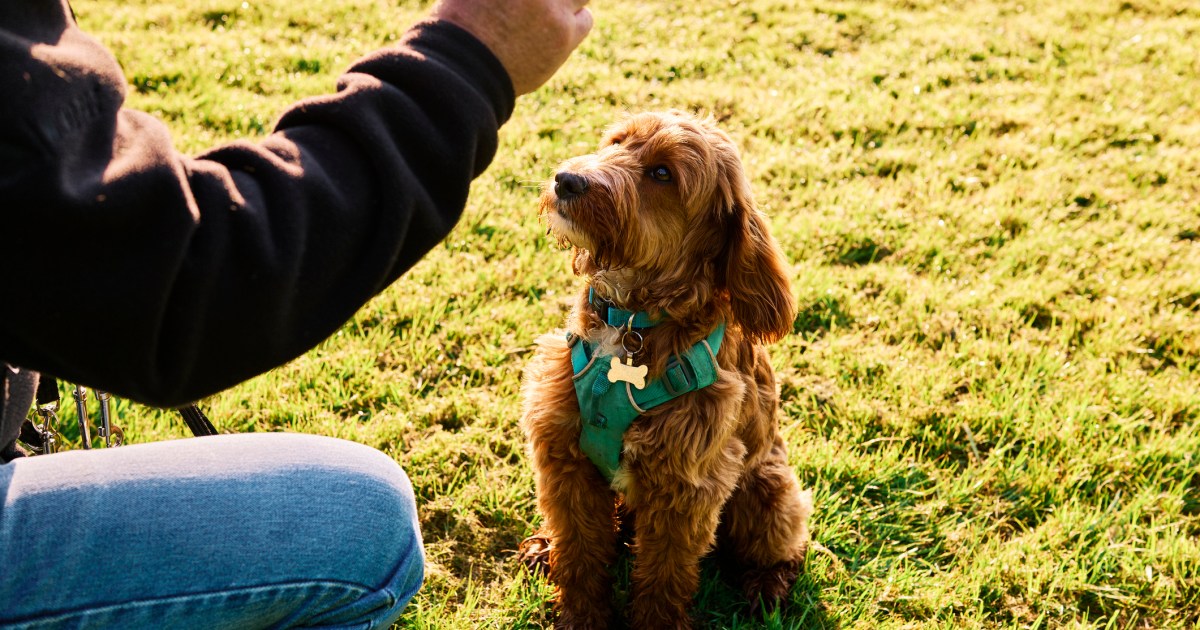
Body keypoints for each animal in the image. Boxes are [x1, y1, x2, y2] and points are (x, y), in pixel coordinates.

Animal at [518, 110, 816, 624]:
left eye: (662, 174)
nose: (566, 179)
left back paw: (768, 586)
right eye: (616, 142)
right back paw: (544, 547)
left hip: (767, 490)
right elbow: (579, 553)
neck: (630, 321)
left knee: (784, 544)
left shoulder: (686, 488)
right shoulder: (564, 459)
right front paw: (581, 615)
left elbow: (664, 576)